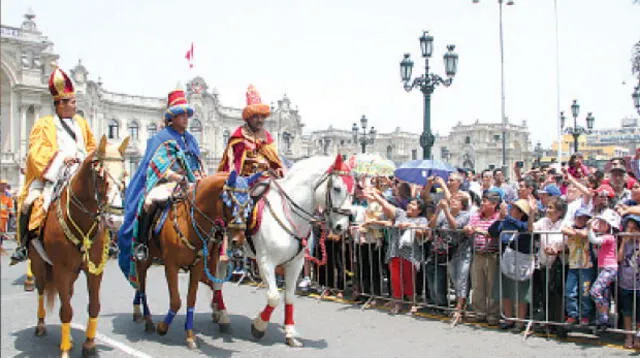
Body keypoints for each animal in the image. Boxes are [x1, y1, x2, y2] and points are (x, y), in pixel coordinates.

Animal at [28, 135, 129, 358]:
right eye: (100, 176)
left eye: (124, 175)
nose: (116, 219)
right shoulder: (61, 270)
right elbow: (66, 311)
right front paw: (65, 350)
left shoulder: (94, 270)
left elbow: (94, 306)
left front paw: (89, 345)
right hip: (39, 264)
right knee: (41, 290)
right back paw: (41, 325)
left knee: (68, 295)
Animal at [130, 171, 260, 350]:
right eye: (229, 202)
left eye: (248, 204)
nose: (238, 241)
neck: (189, 223)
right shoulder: (171, 266)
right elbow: (176, 301)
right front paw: (163, 327)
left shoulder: (197, 267)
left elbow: (191, 298)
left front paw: (190, 336)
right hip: (144, 259)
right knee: (141, 287)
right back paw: (147, 319)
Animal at [209, 154, 350, 346]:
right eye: (336, 188)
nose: (342, 226)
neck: (289, 215)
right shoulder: (266, 262)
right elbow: (274, 297)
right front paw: (259, 326)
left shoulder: (296, 264)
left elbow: (289, 296)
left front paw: (290, 333)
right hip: (221, 248)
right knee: (218, 278)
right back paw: (222, 315)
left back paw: (217, 310)